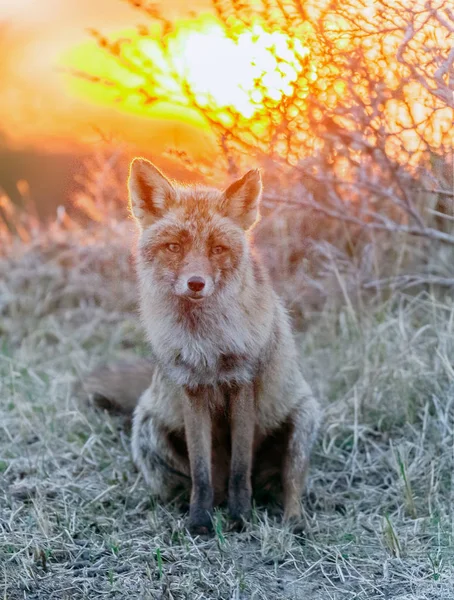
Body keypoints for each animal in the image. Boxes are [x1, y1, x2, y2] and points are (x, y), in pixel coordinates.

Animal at [84, 158, 320, 536]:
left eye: (217, 249)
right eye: (174, 247)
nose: (196, 284)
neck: (206, 343)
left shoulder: (243, 382)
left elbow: (240, 469)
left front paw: (240, 517)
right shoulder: (190, 387)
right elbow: (200, 471)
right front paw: (199, 521)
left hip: (303, 422)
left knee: (290, 482)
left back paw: (292, 521)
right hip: (148, 430)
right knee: (191, 483)